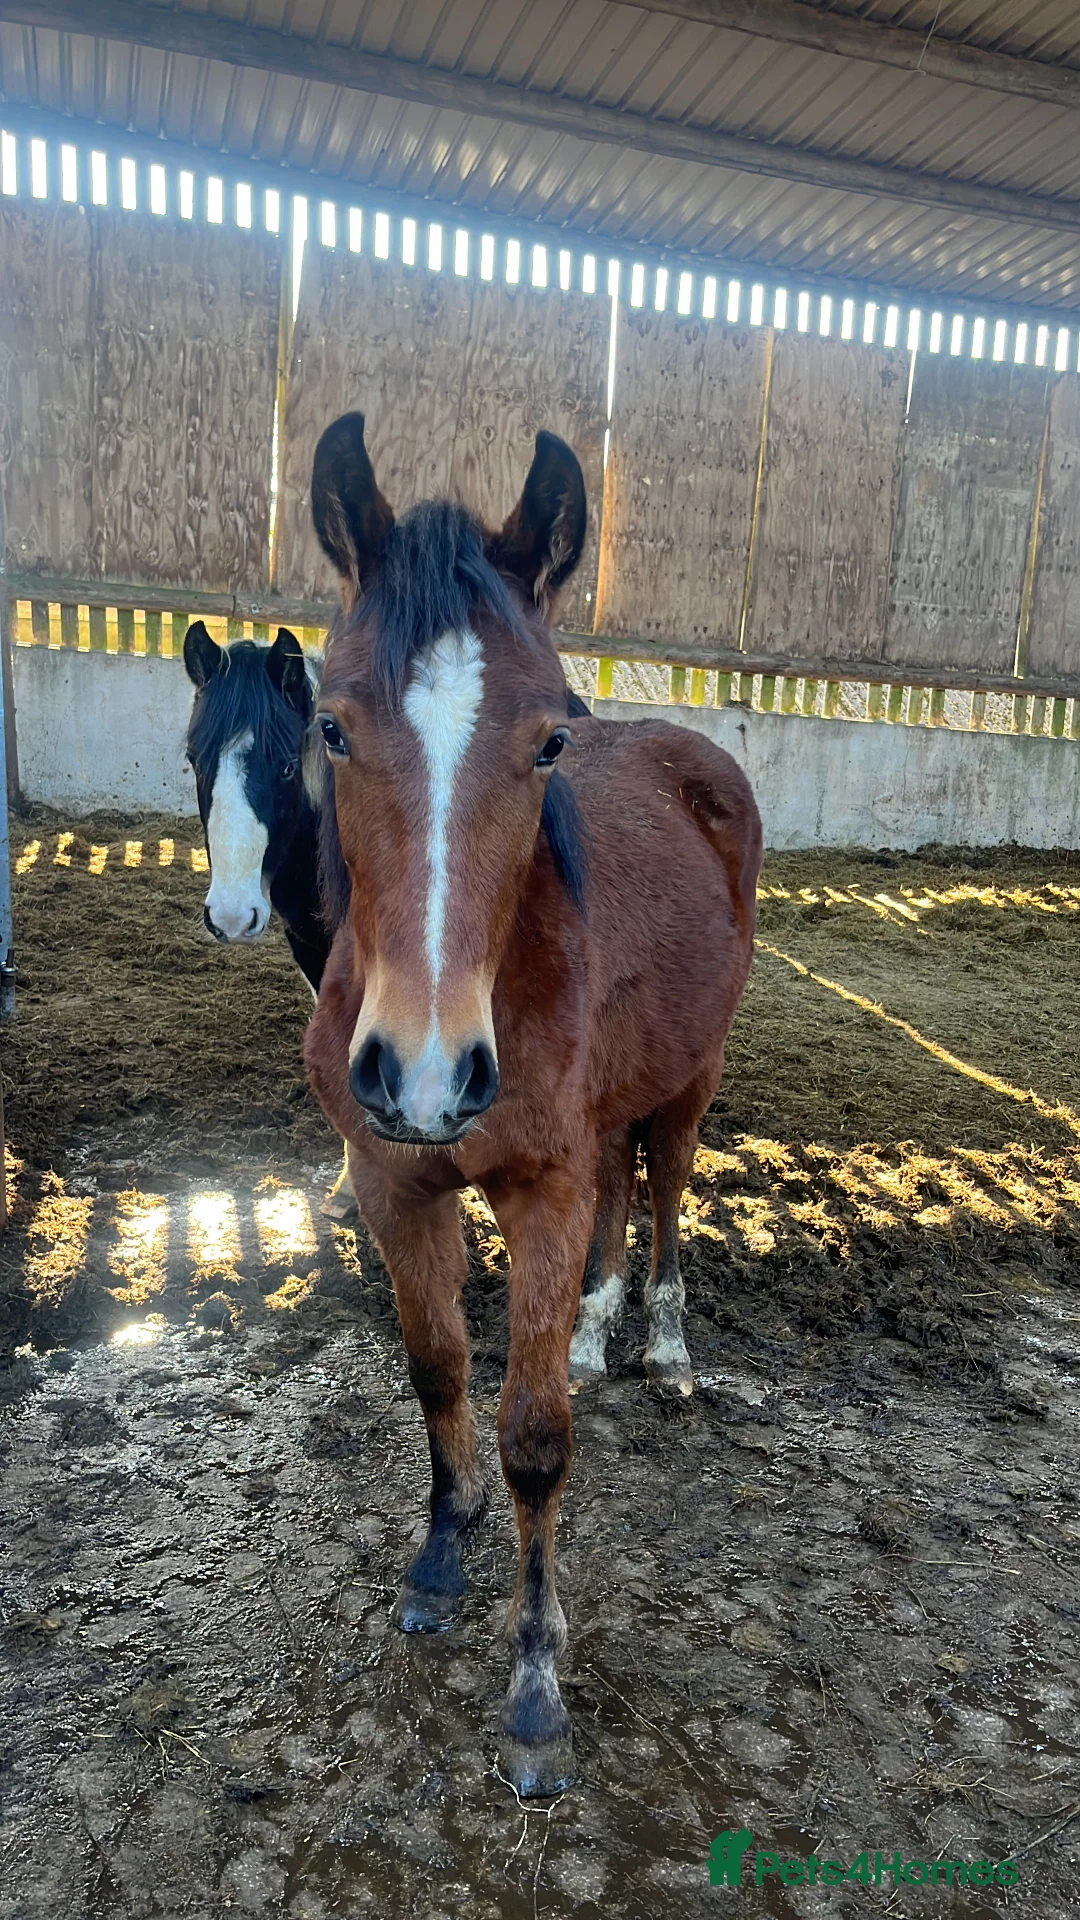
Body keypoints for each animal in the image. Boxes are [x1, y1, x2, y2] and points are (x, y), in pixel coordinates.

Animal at [304, 412, 762, 1796]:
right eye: (330, 725)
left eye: (550, 740)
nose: (426, 1072)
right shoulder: (391, 1179)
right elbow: (438, 1367)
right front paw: (439, 1553)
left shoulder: (540, 1193)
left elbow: (535, 1437)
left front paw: (535, 1686)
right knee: (621, 1187)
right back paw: (608, 1322)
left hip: (692, 1081)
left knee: (660, 1190)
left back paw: (663, 1342)